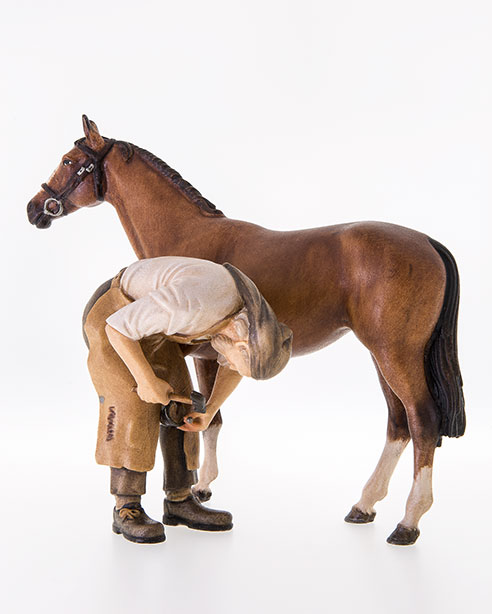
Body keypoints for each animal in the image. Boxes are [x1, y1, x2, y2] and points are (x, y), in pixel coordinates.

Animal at [27, 116, 466, 548]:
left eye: (69, 161)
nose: (34, 209)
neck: (189, 235)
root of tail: (427, 242)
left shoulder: (204, 354)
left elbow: (210, 418)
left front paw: (202, 487)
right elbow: (206, 415)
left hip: (396, 355)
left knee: (422, 421)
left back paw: (408, 522)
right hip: (382, 355)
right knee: (398, 423)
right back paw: (364, 505)